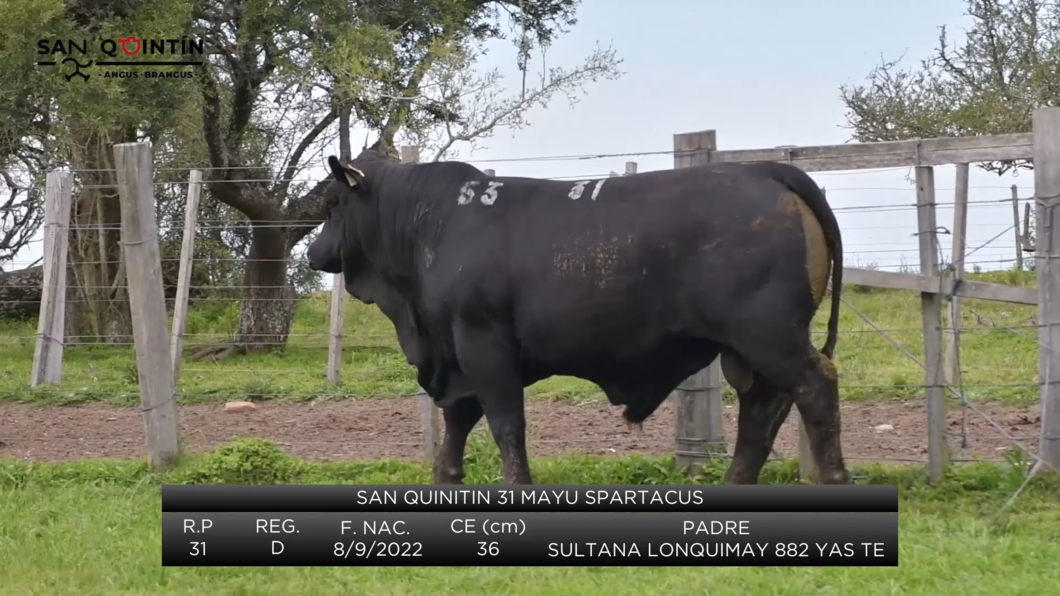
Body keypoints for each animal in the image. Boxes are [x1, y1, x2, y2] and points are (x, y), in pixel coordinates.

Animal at [307, 147, 852, 483]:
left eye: (332, 202)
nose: (313, 253)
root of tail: (764, 169)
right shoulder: (457, 356)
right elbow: (459, 420)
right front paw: (447, 477)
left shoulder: (481, 342)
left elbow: (506, 423)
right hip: (749, 347)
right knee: (762, 410)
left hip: (770, 335)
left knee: (815, 388)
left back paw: (834, 478)